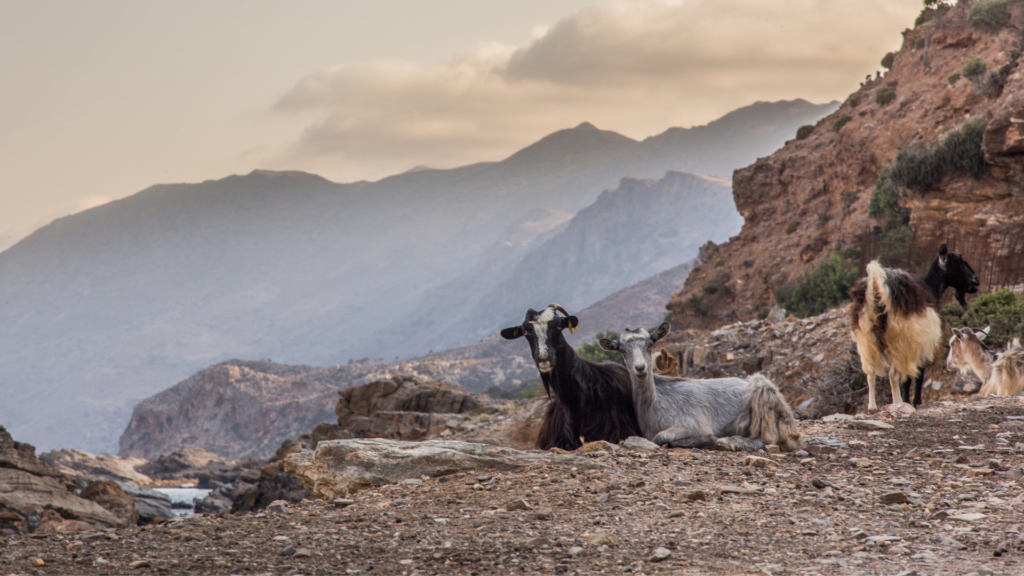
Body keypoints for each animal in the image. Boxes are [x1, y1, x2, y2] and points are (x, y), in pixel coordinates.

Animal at [598, 323, 802, 448]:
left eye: (650, 345)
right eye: (623, 350)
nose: (640, 368)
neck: (656, 402)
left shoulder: (693, 423)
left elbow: (661, 437)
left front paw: (706, 439)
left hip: (762, 394)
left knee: (767, 438)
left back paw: (729, 441)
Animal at [847, 241, 983, 407]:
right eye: (958, 262)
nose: (975, 279)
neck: (931, 289)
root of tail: (878, 289)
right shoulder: (920, 344)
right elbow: (916, 375)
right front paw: (915, 401)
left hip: (866, 339)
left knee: (870, 373)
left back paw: (872, 407)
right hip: (898, 341)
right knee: (893, 374)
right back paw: (897, 402)